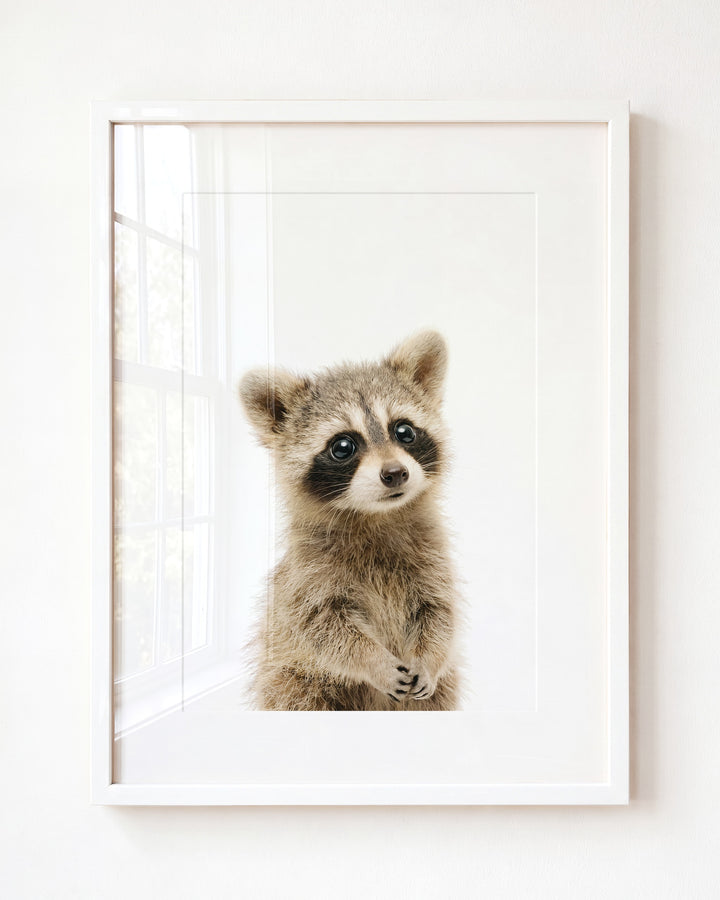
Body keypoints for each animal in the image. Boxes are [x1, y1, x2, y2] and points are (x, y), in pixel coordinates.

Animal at [238, 330, 461, 710]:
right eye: (343, 446)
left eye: (404, 431)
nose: (395, 473)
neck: (376, 516)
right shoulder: (307, 576)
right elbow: (324, 629)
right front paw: (374, 662)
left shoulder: (433, 558)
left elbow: (439, 613)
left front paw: (429, 658)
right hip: (293, 681)